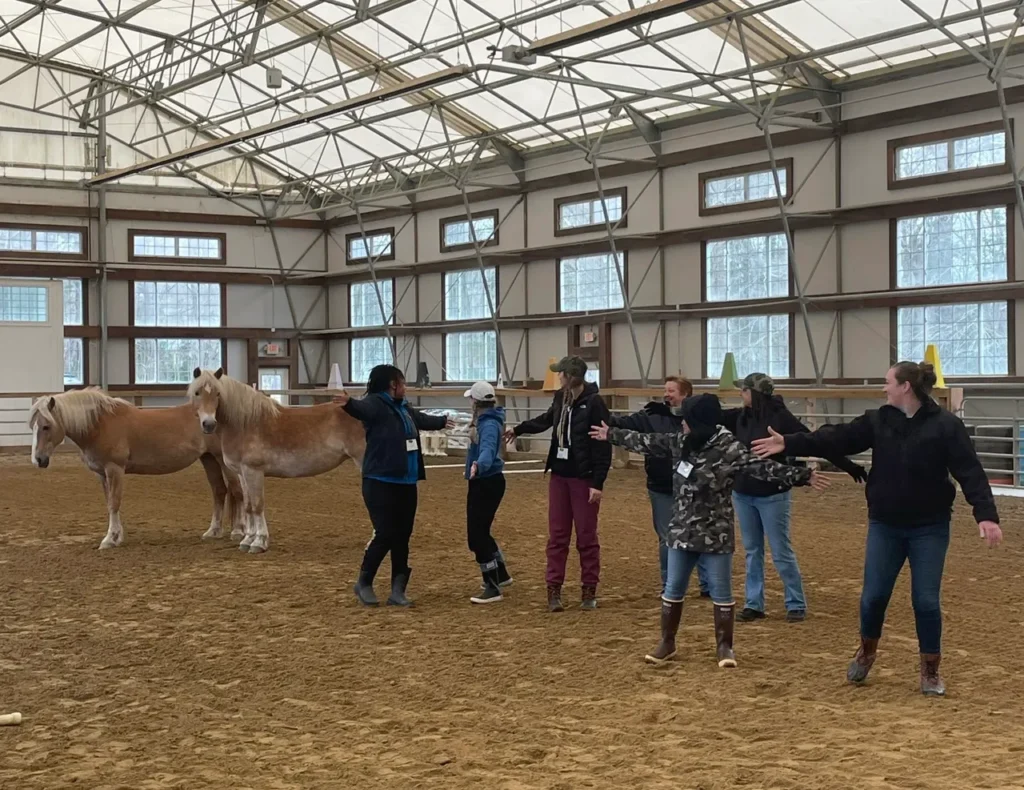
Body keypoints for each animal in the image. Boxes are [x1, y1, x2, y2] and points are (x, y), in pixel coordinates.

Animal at [29, 389, 242, 549]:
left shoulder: (114, 469)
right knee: (219, 491)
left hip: (222, 460)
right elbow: (109, 503)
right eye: (33, 426)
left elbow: (114, 503)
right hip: (208, 459)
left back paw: (239, 531)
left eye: (46, 426)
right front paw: (117, 536)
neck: (100, 425)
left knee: (236, 491)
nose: (39, 459)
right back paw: (213, 531)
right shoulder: (102, 474)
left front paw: (110, 539)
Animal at [186, 366, 366, 553]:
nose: (209, 424)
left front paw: (259, 542)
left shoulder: (253, 471)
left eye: (218, 393)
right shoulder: (243, 473)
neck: (244, 424)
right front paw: (247, 540)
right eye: (197, 393)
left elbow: (257, 505)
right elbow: (248, 506)